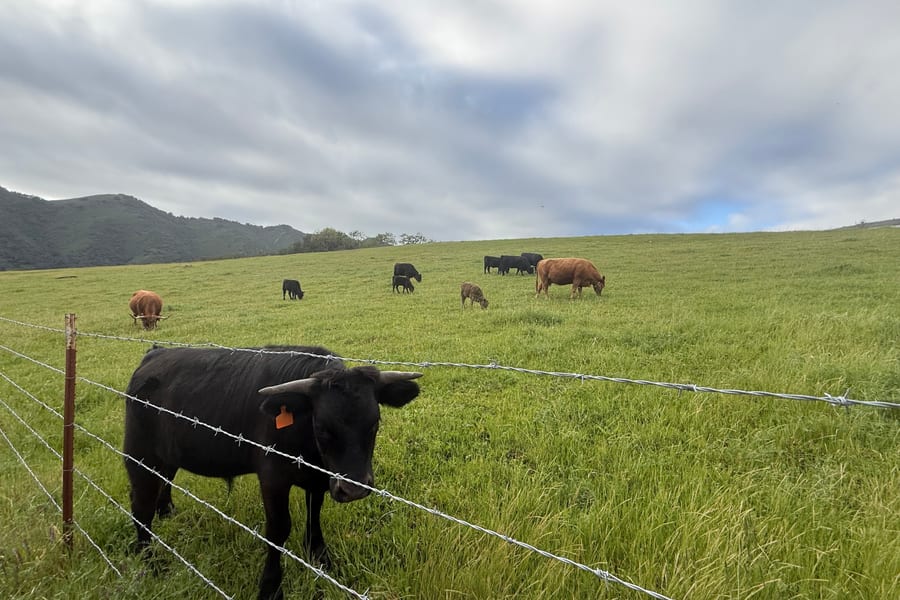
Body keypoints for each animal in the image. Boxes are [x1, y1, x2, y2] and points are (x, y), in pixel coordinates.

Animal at [123, 345, 421, 600]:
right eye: (322, 427)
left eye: (374, 423)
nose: (355, 489)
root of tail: (155, 354)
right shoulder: (272, 479)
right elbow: (278, 530)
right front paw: (270, 587)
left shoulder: (318, 478)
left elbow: (314, 514)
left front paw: (320, 557)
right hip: (139, 456)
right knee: (140, 508)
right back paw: (151, 562)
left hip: (166, 457)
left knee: (163, 483)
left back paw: (167, 513)